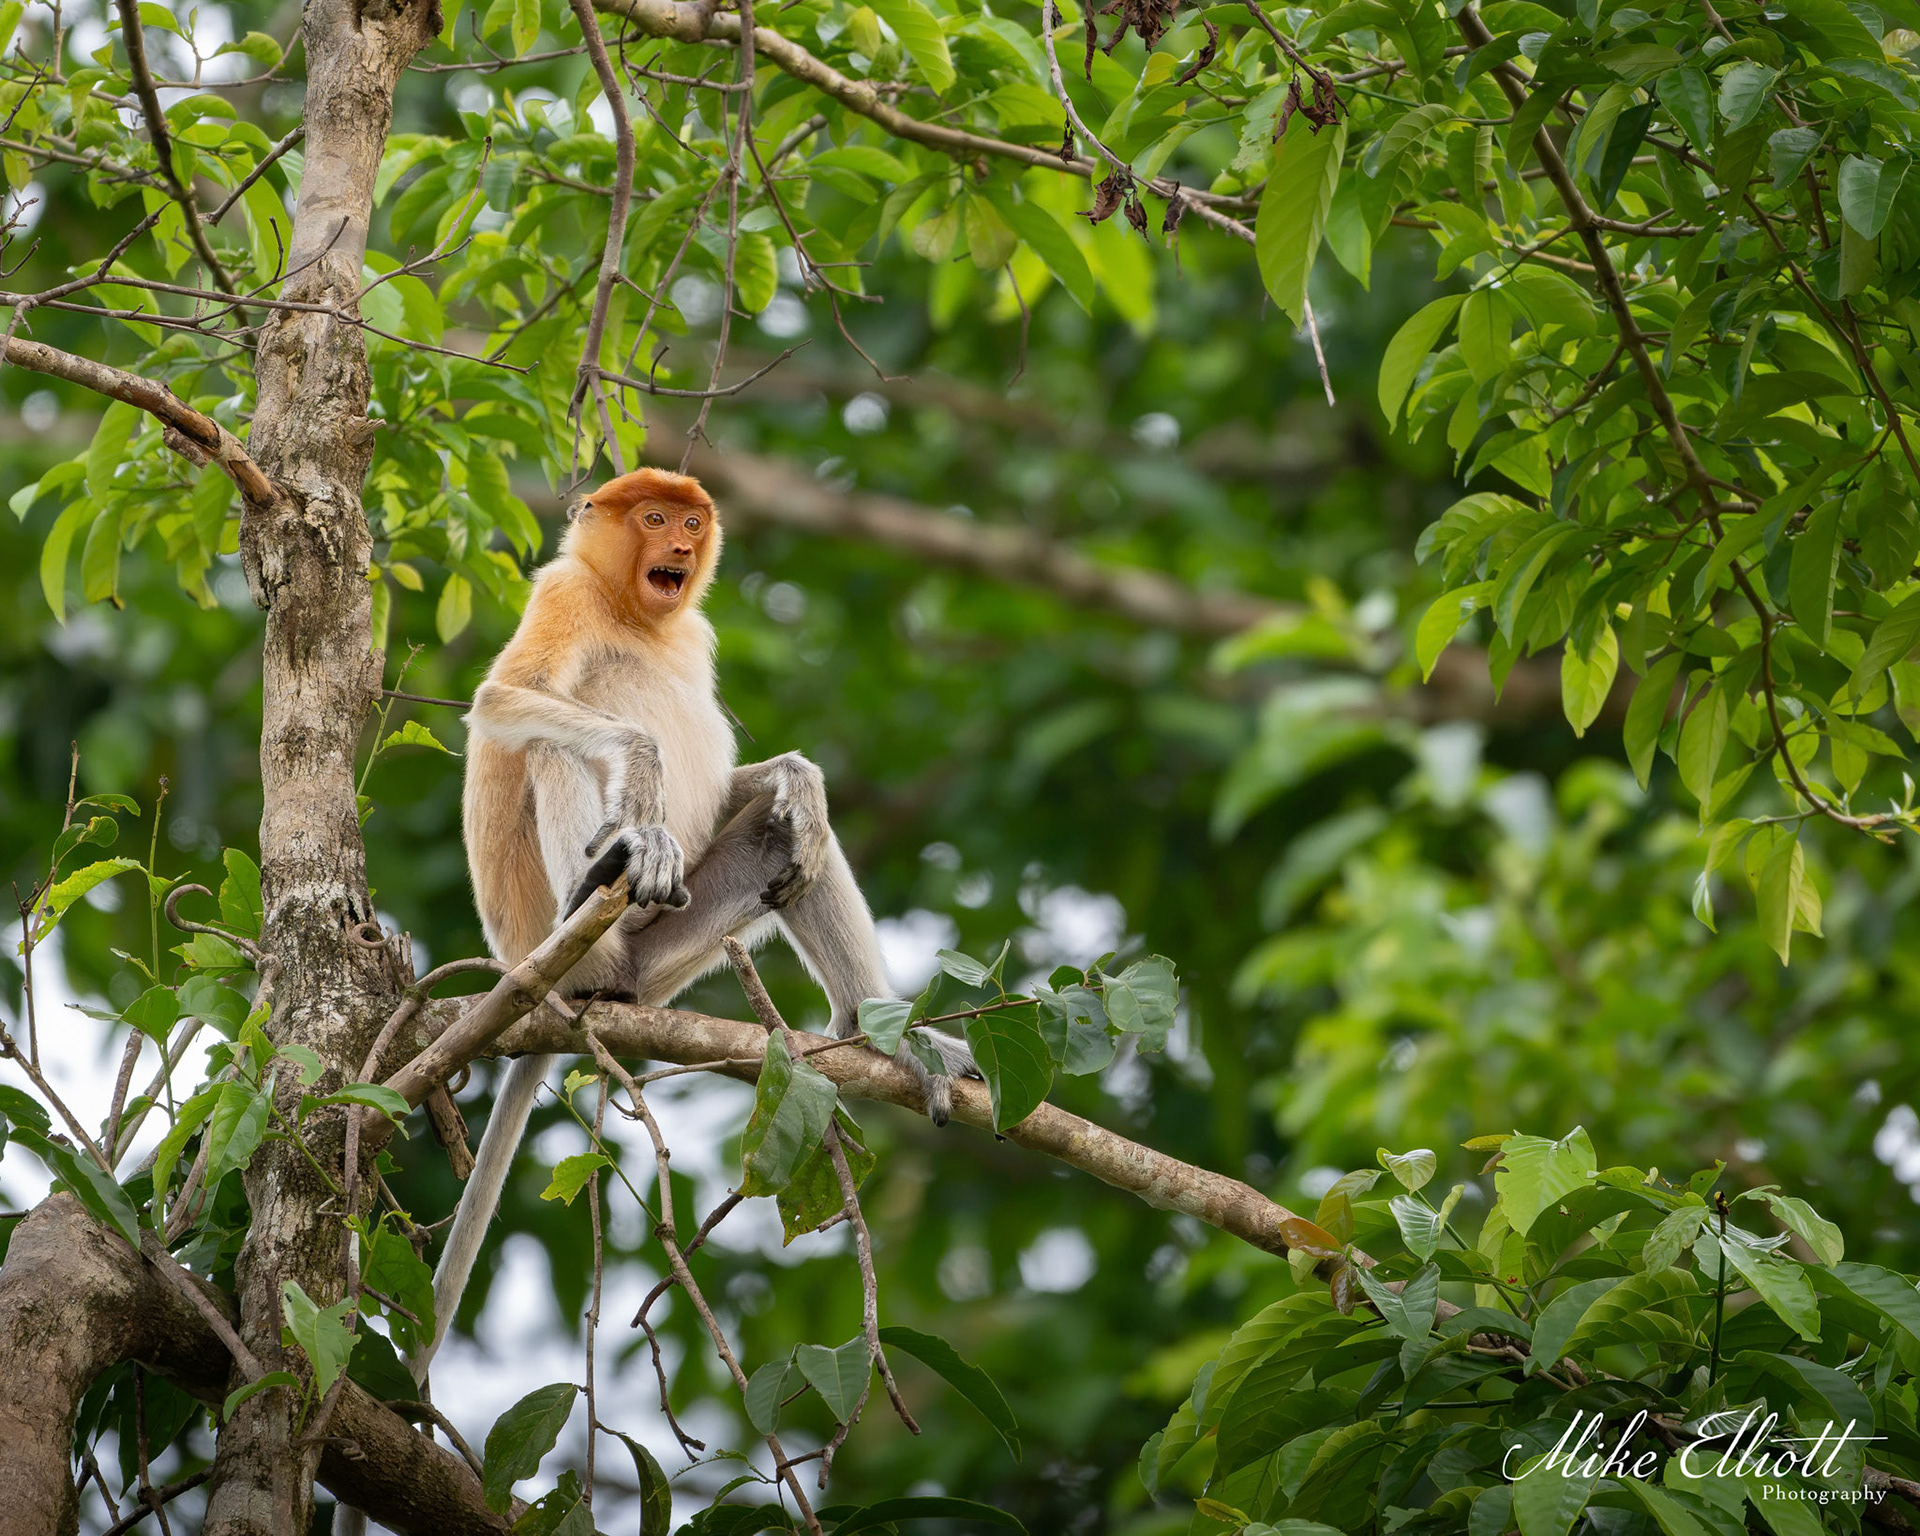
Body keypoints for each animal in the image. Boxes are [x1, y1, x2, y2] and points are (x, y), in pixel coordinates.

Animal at [409, 467, 974, 1381]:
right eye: (651, 516)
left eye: (691, 521)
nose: (678, 543)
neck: (633, 613)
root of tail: (540, 975)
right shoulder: (563, 593)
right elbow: (506, 697)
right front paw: (644, 787)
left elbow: (772, 806)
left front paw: (799, 779)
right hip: (570, 942)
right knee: (552, 747)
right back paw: (612, 874)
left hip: (667, 952)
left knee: (784, 844)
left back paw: (877, 1030)